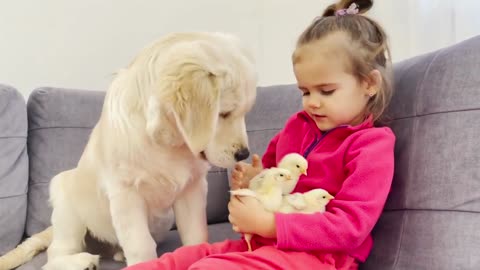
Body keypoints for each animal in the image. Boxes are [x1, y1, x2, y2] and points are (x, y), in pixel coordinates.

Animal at [0, 32, 255, 270]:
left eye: (243, 112)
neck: (165, 143)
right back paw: (82, 261)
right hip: (66, 199)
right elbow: (140, 244)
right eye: (224, 114)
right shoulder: (125, 193)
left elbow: (196, 235)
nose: (243, 154)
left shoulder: (192, 188)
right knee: (54, 256)